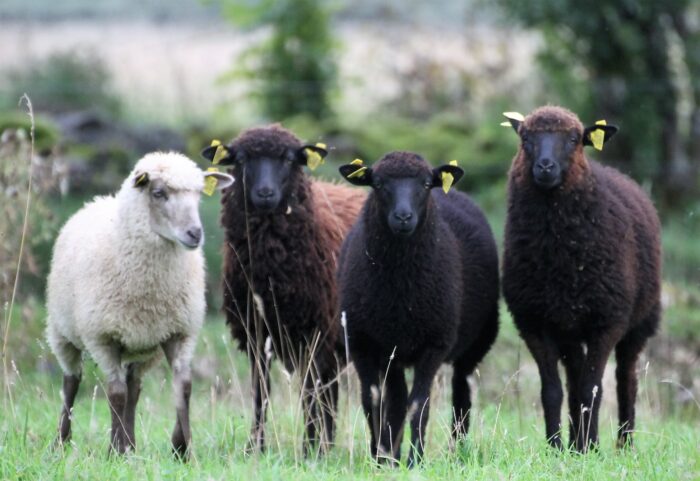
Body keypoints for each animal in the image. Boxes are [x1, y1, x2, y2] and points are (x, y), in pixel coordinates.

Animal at [45, 152, 234, 456]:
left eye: (198, 195)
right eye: (158, 193)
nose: (195, 233)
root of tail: (99, 200)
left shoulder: (179, 332)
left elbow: (183, 388)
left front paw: (182, 449)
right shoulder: (103, 338)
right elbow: (115, 394)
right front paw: (112, 452)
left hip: (143, 346)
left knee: (134, 386)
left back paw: (130, 445)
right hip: (62, 332)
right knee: (71, 382)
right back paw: (63, 441)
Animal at [200, 124, 366, 454]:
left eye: (290, 159)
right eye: (241, 159)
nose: (265, 193)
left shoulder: (314, 334)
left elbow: (309, 394)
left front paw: (309, 449)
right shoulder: (256, 333)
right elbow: (260, 392)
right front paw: (256, 446)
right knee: (330, 392)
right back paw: (329, 443)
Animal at [338, 151, 498, 464]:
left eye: (425, 184)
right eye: (378, 183)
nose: (403, 217)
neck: (400, 290)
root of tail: (454, 192)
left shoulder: (434, 344)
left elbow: (419, 404)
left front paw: (415, 460)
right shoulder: (366, 343)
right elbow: (374, 401)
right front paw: (382, 457)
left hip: (473, 346)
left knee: (461, 396)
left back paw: (457, 448)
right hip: (393, 350)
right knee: (397, 399)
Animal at [500, 105, 660, 450]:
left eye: (574, 140)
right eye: (526, 139)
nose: (545, 167)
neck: (558, 255)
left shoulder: (607, 322)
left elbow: (592, 390)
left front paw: (591, 447)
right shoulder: (534, 322)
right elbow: (552, 391)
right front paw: (556, 447)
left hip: (639, 322)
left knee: (625, 379)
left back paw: (622, 443)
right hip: (569, 327)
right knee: (574, 377)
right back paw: (576, 442)